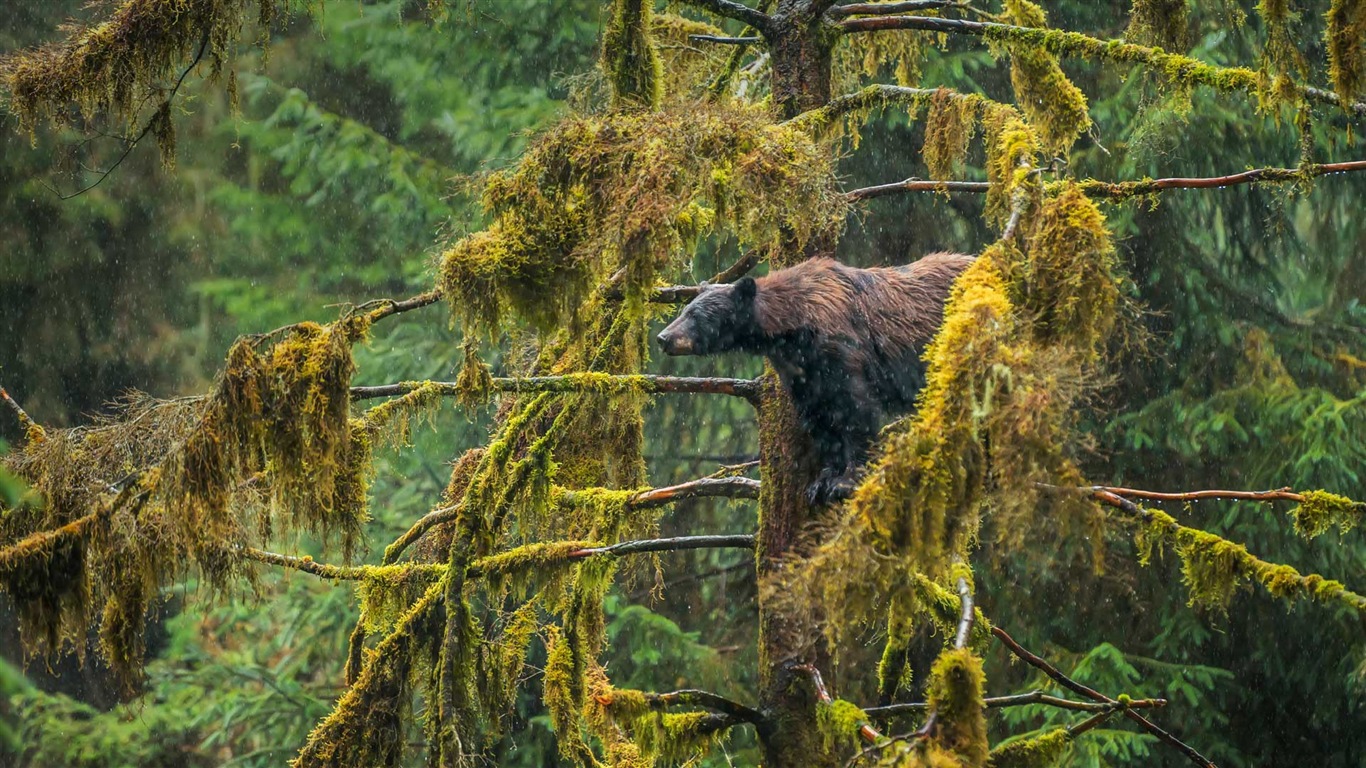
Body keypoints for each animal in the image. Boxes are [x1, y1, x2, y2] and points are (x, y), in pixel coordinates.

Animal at [658, 251, 972, 502]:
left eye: (696, 316)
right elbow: (820, 420)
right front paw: (822, 482)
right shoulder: (802, 373)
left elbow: (855, 411)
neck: (793, 328)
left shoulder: (841, 350)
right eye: (684, 309)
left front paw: (846, 481)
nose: (663, 338)